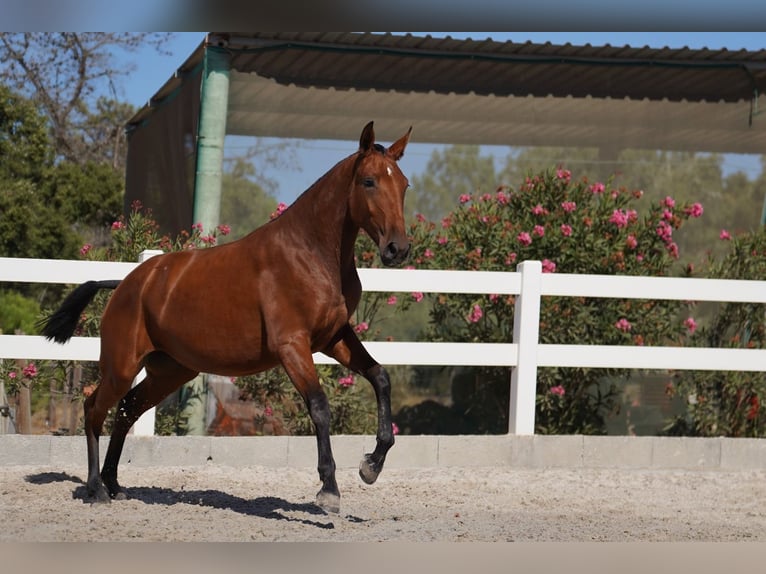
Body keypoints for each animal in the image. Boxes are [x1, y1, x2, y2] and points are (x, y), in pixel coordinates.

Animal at [40, 122, 414, 516]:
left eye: (404, 184)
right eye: (369, 181)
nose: (398, 249)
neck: (309, 253)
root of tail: (125, 283)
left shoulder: (333, 337)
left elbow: (380, 377)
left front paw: (371, 465)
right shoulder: (292, 345)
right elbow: (319, 406)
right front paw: (329, 490)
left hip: (169, 372)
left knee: (127, 411)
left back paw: (114, 484)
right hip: (121, 367)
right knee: (93, 409)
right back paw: (95, 488)